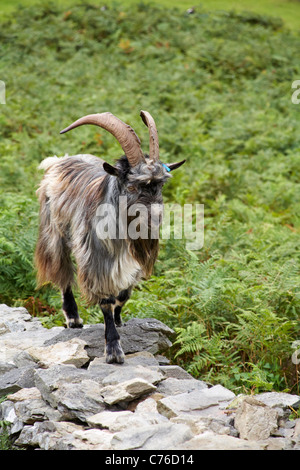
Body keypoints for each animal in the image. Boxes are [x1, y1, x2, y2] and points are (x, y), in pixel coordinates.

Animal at [35, 110, 185, 364]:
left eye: (160, 185)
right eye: (132, 186)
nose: (155, 219)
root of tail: (58, 161)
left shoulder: (132, 262)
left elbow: (123, 294)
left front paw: (119, 319)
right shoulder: (95, 259)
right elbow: (105, 300)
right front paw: (114, 350)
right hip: (54, 232)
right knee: (62, 272)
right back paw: (73, 318)